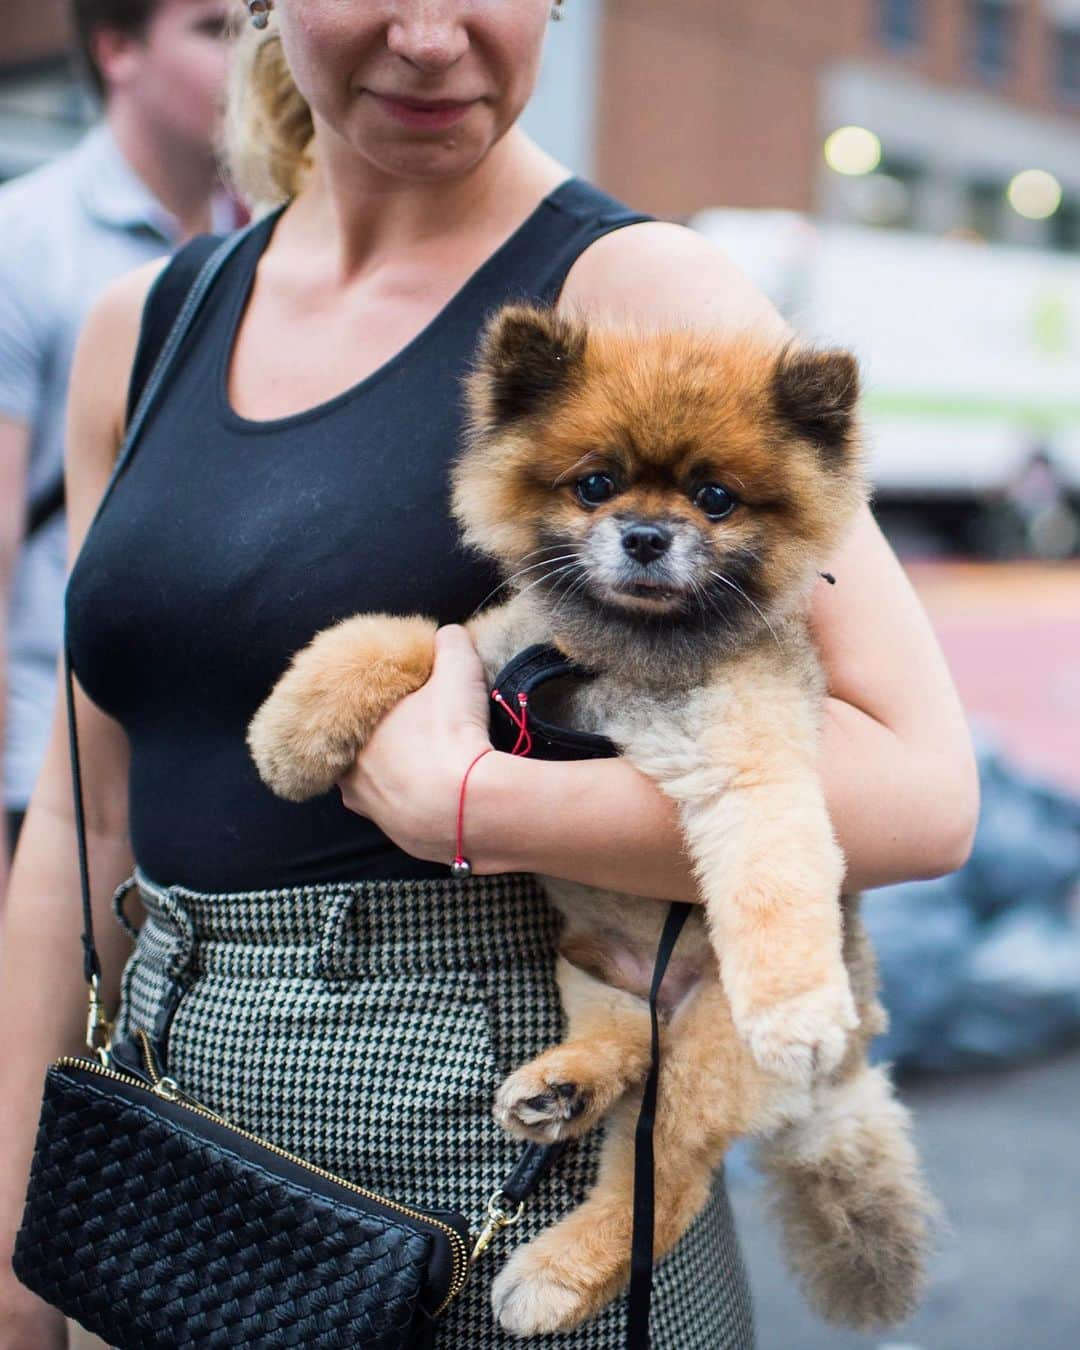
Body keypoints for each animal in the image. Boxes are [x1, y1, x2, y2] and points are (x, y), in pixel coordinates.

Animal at [248, 309, 934, 1339]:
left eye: (716, 498)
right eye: (596, 484)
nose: (646, 536)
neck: (615, 661)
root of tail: (850, 1071)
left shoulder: (752, 762)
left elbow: (773, 878)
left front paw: (796, 1007)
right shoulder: (495, 647)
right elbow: (387, 634)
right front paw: (292, 731)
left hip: (706, 1061)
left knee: (663, 1183)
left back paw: (556, 1273)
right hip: (589, 969)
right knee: (626, 1046)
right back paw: (558, 1089)